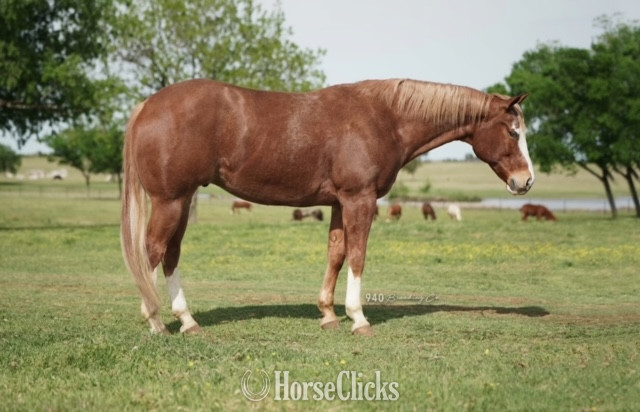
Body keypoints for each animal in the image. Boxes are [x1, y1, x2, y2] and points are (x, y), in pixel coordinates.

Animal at [121, 78, 534, 336]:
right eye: (513, 131)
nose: (526, 181)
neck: (384, 118)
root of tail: (147, 105)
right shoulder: (359, 199)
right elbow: (358, 255)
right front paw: (358, 318)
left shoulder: (338, 202)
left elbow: (336, 253)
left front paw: (328, 315)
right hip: (171, 201)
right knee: (153, 251)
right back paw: (155, 320)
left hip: (182, 199)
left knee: (171, 254)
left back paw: (188, 321)